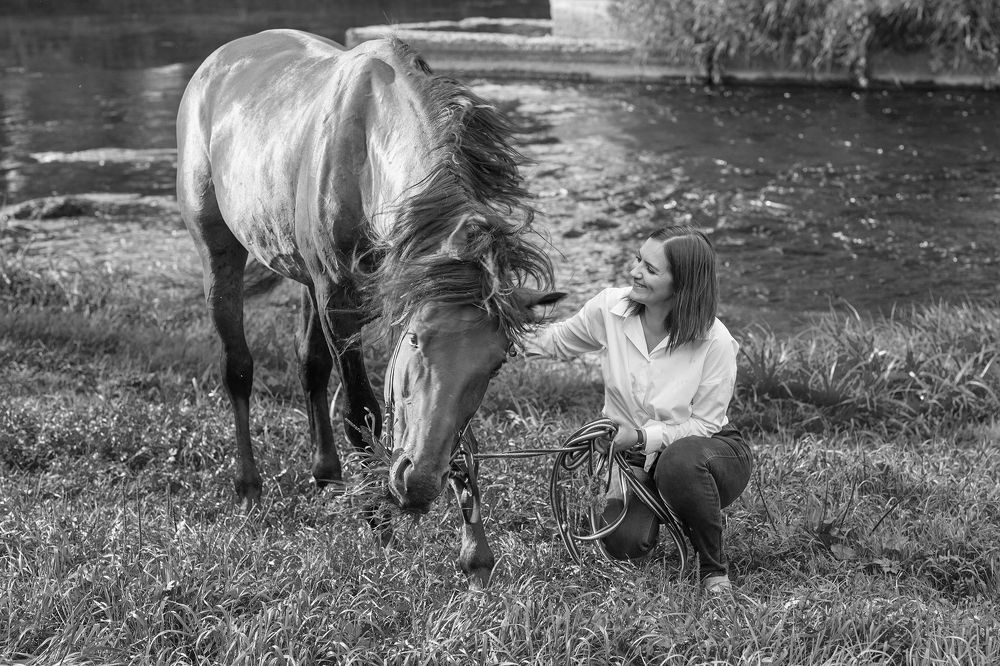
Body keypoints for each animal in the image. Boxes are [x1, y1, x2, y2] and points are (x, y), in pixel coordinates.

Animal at [176, 29, 562, 587]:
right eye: (416, 339)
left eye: (497, 363)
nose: (417, 484)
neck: (368, 159)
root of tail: (217, 61)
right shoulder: (339, 299)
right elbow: (361, 411)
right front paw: (378, 526)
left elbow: (460, 436)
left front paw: (475, 552)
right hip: (220, 251)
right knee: (238, 369)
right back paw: (249, 490)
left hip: (305, 277)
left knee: (310, 367)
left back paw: (329, 476)